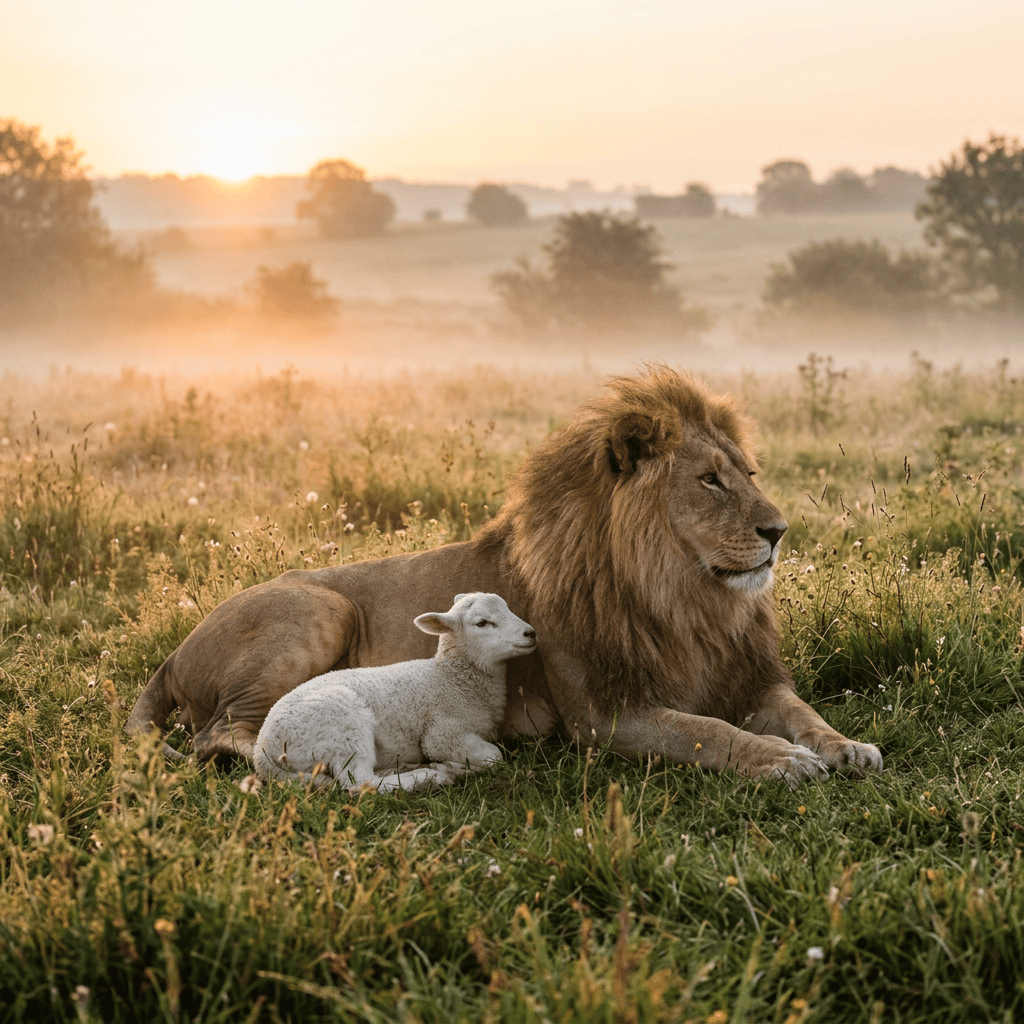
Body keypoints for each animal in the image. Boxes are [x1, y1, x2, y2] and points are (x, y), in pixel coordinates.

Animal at [252, 592, 537, 792]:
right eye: (482, 623)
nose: (531, 633)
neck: (451, 679)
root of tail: (263, 755)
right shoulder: (442, 733)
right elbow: (493, 756)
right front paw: (449, 766)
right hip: (341, 727)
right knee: (360, 782)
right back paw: (429, 777)